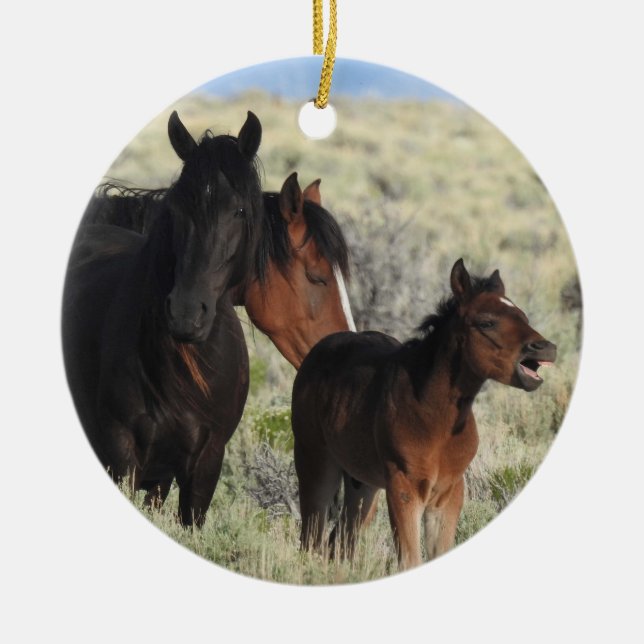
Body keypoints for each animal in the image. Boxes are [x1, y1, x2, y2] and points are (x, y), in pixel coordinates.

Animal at [291, 258, 556, 570]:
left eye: (523, 316)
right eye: (486, 322)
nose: (545, 348)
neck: (433, 415)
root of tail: (317, 351)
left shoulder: (448, 493)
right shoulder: (404, 490)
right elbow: (410, 559)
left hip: (364, 484)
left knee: (342, 539)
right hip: (316, 463)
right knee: (311, 538)